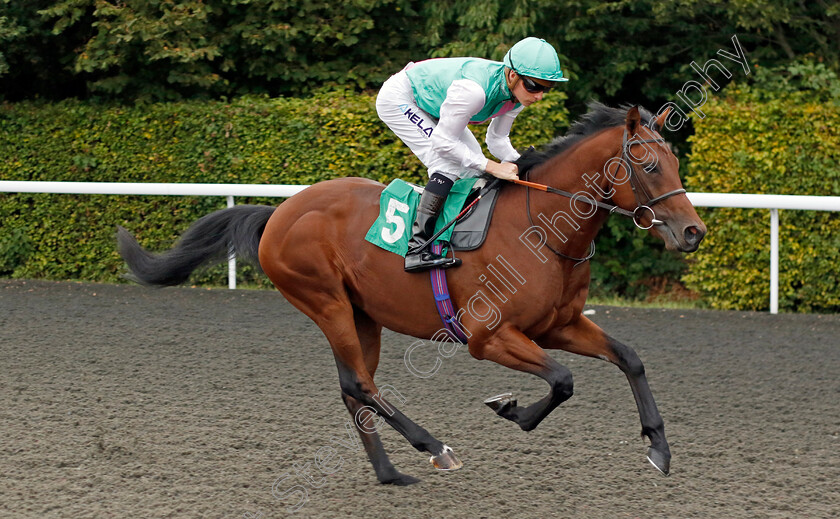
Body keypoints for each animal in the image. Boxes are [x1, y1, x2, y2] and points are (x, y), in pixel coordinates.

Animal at [118, 103, 704, 486]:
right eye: (649, 166)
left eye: (677, 163)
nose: (693, 232)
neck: (541, 229)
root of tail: (278, 212)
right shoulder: (488, 338)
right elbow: (562, 380)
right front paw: (509, 408)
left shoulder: (558, 324)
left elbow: (629, 358)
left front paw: (659, 448)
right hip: (325, 302)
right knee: (359, 383)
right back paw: (434, 447)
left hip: (363, 314)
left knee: (354, 387)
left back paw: (389, 472)